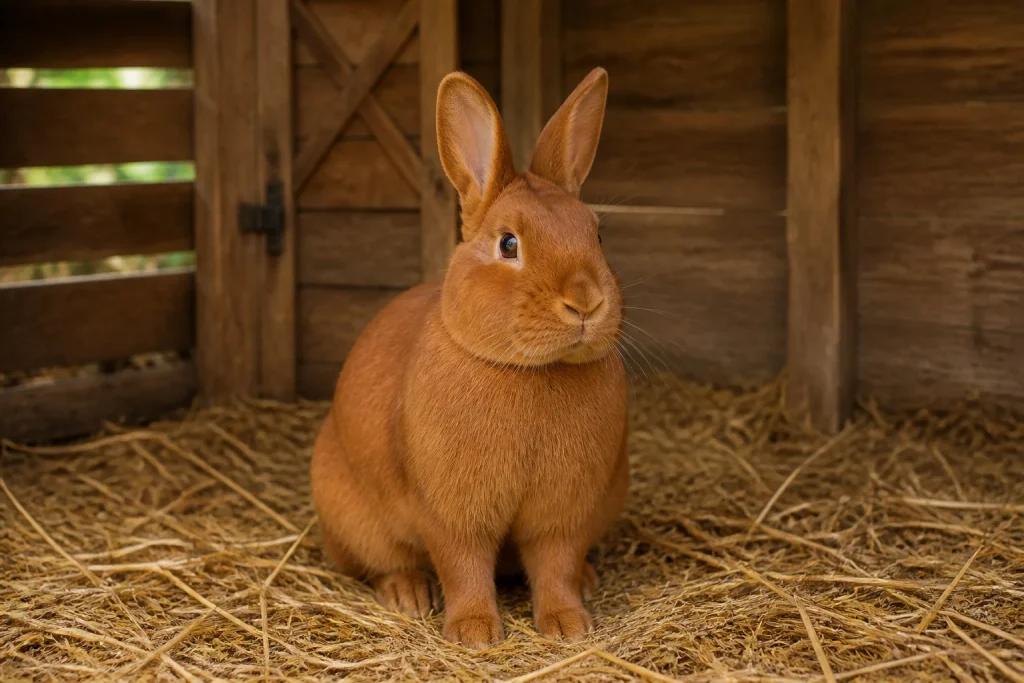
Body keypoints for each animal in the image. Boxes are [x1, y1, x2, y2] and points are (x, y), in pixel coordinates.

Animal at [310, 67, 627, 649]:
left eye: (597, 234)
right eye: (508, 244)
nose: (585, 302)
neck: (531, 372)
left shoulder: (564, 517)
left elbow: (556, 565)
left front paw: (568, 625)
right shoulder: (452, 515)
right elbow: (464, 566)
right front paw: (475, 632)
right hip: (354, 519)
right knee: (382, 563)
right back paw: (407, 594)